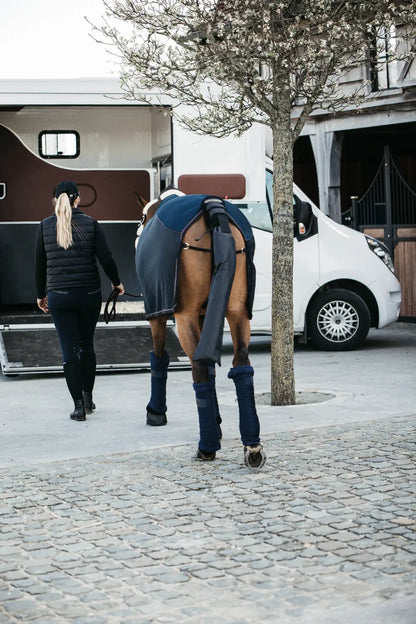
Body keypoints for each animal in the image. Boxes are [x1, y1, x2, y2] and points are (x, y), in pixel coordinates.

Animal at [136, 190, 266, 468]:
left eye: (142, 217)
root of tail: (211, 206)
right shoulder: (208, 315)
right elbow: (211, 368)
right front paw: (217, 423)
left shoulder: (158, 313)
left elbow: (159, 358)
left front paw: (156, 412)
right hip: (238, 313)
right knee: (241, 364)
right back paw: (251, 445)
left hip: (185, 316)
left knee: (197, 367)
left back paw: (206, 447)